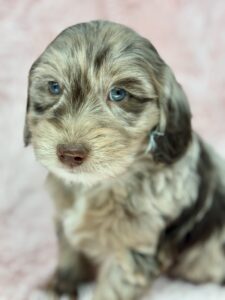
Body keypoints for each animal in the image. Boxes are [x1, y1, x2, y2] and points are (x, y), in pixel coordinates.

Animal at [23, 19, 224, 298]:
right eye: (54, 87)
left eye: (118, 93)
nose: (69, 154)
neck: (102, 182)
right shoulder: (63, 216)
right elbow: (69, 254)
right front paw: (62, 286)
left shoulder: (134, 247)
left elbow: (112, 288)